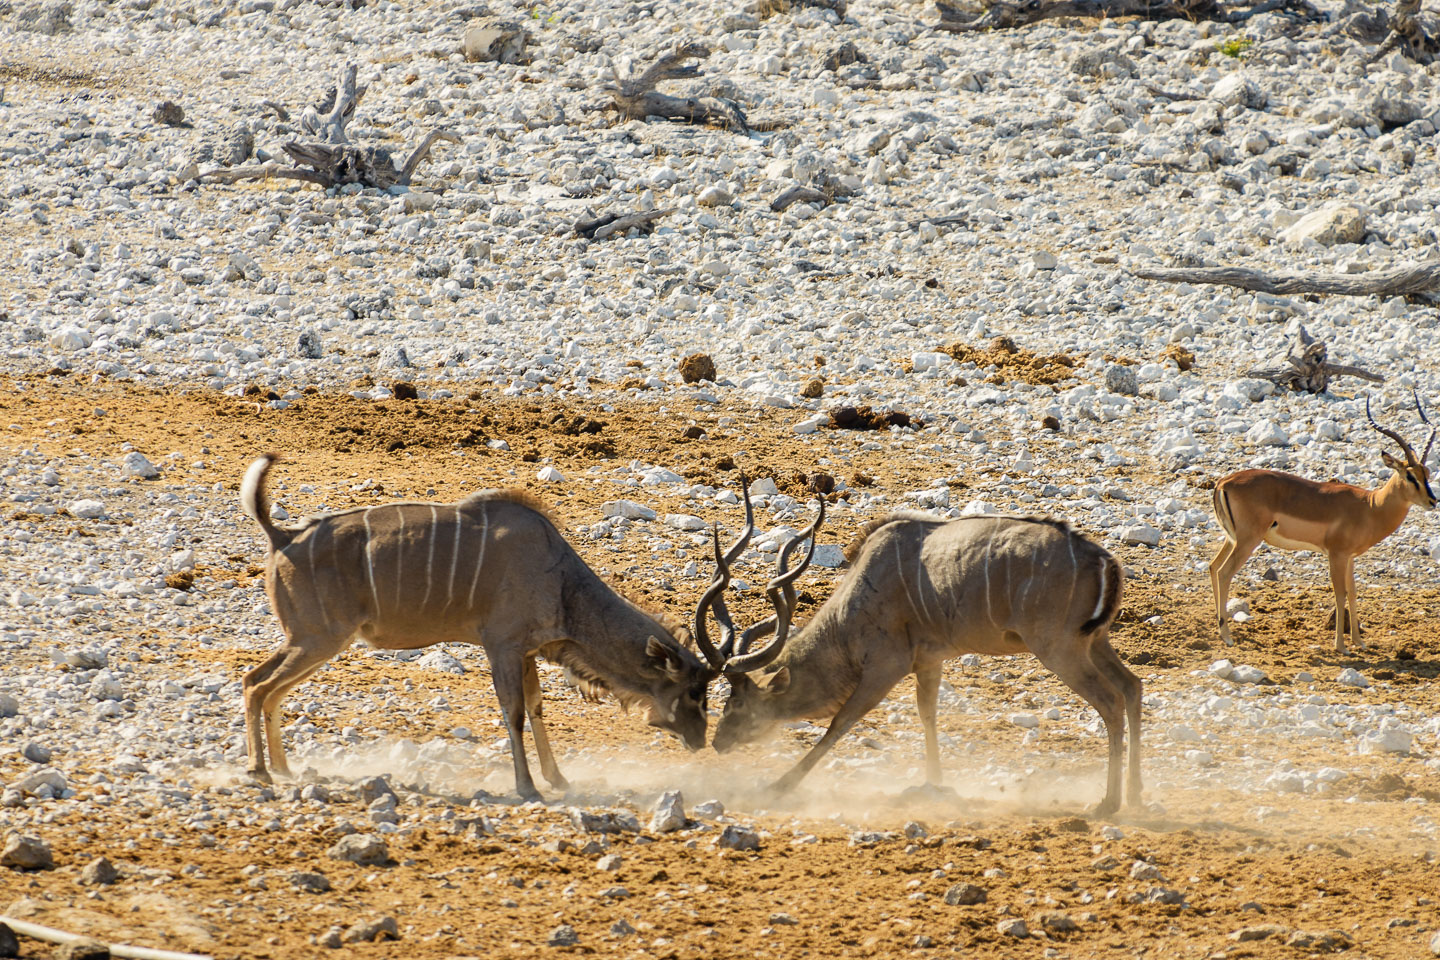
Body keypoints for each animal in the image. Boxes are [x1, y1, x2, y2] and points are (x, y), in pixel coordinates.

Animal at [240, 454, 714, 800]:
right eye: (694, 690)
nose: (701, 741)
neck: (560, 578)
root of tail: (281, 537)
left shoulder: (525, 651)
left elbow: (537, 707)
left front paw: (558, 780)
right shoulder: (501, 646)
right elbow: (514, 712)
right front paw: (527, 788)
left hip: (315, 642)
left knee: (267, 688)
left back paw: (283, 769)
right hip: (316, 638)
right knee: (255, 684)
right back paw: (259, 770)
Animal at [699, 495, 1146, 817]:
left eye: (736, 703)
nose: (717, 742)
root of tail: (1105, 560)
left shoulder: (886, 666)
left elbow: (840, 724)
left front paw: (779, 786)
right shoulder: (929, 661)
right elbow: (927, 712)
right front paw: (934, 784)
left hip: (1060, 649)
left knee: (1110, 701)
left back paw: (1108, 804)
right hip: (1094, 643)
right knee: (1133, 687)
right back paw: (1135, 795)